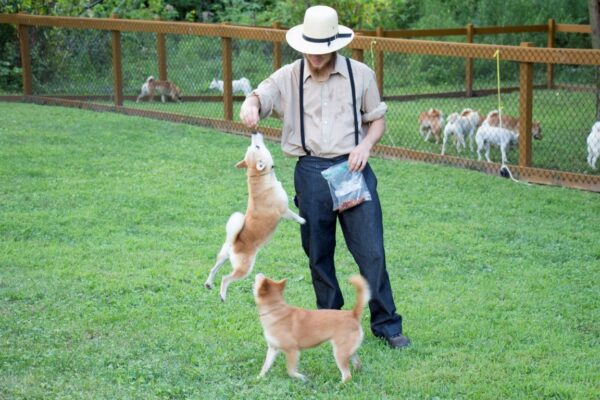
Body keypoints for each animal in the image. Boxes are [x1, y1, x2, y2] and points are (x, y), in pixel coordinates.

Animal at [204, 133, 304, 302]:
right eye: (257, 147)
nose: (254, 132)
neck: (260, 176)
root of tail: (234, 241)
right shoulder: (284, 210)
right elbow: (294, 216)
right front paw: (303, 220)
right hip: (244, 268)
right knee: (226, 278)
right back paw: (222, 295)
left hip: (223, 256)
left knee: (213, 269)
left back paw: (209, 283)